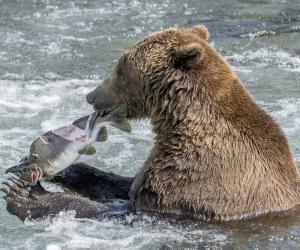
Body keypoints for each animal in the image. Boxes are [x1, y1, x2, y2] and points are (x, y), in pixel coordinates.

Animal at [4, 24, 300, 222]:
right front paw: (69, 170)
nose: (91, 95)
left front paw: (25, 195)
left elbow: (128, 208)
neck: (180, 120)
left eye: (121, 67)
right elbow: (123, 184)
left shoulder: (195, 176)